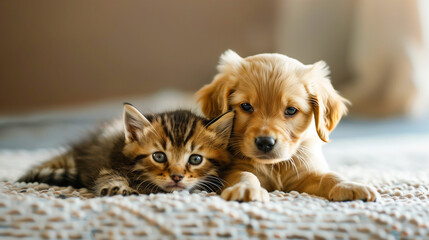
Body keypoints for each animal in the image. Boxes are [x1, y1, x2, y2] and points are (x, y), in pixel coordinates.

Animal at [19, 104, 234, 196]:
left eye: (195, 159)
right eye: (159, 156)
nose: (176, 177)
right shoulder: (107, 160)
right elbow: (108, 174)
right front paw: (116, 186)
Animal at [196, 50, 376, 202]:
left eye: (291, 110)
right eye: (246, 106)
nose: (265, 142)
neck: (276, 166)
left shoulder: (306, 171)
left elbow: (328, 175)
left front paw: (348, 185)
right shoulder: (230, 170)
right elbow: (245, 174)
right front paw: (245, 188)